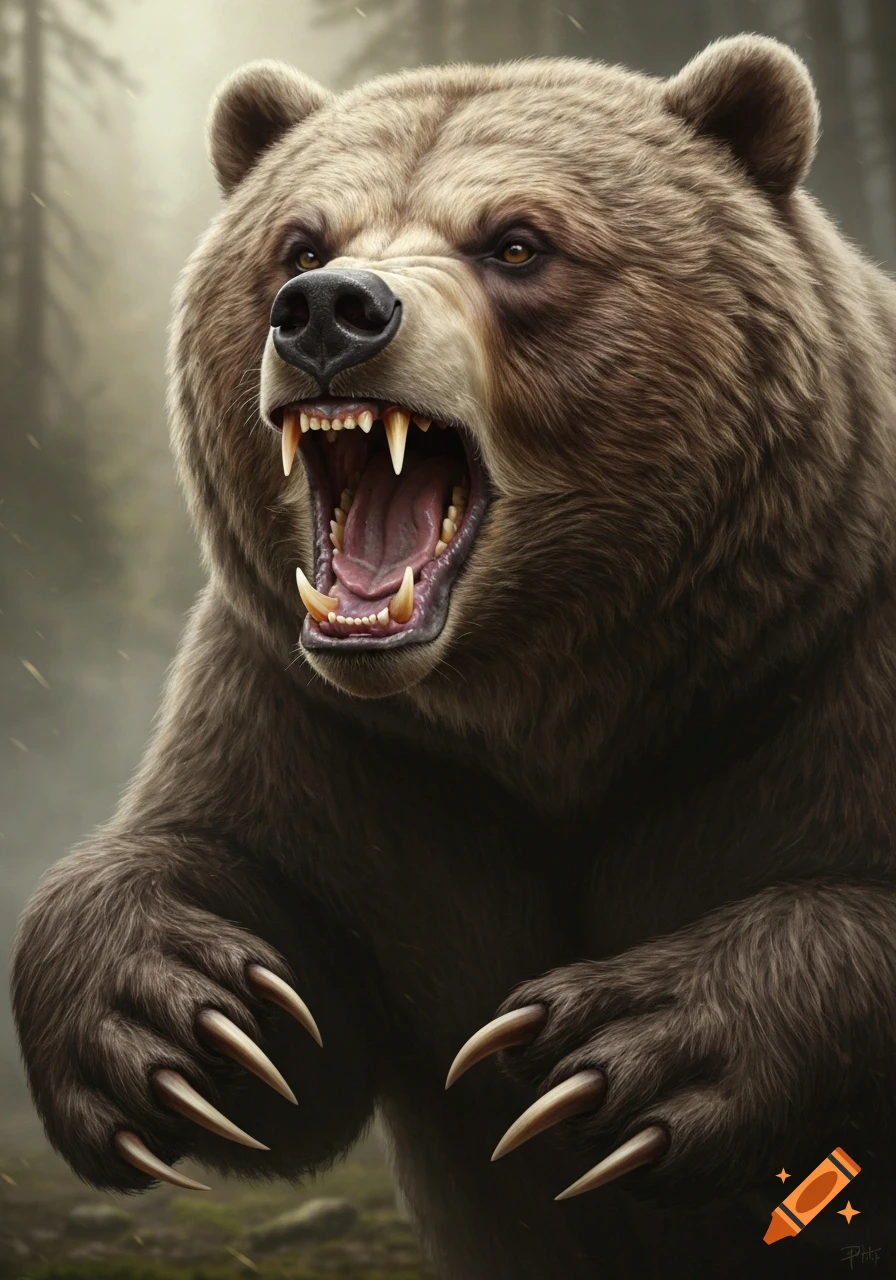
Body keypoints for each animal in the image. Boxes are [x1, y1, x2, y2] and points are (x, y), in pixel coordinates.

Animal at [11, 32, 896, 1280]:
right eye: (300, 240)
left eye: (516, 241)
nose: (328, 312)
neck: (546, 697)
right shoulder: (346, 743)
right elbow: (285, 1009)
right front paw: (176, 1011)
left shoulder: (812, 679)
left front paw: (613, 1050)